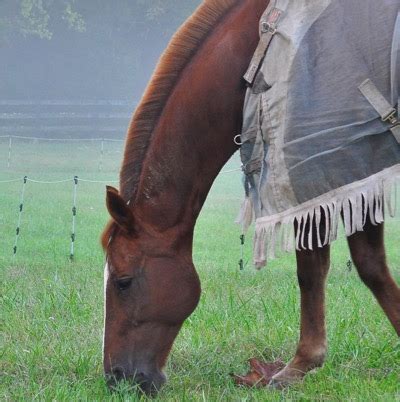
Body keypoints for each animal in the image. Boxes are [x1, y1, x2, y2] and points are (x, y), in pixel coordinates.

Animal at [102, 0, 400, 396]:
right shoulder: (347, 179)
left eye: (123, 281)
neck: (256, 47)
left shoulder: (327, 172)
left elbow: (333, 269)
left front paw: (299, 365)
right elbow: (359, 265)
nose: (117, 377)